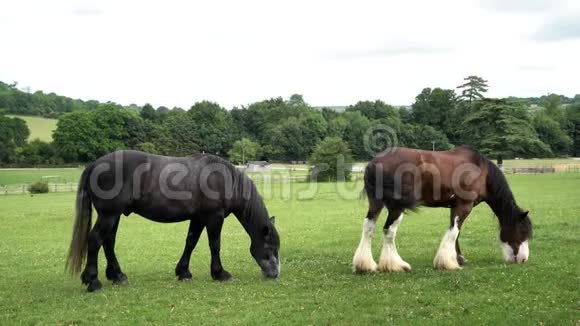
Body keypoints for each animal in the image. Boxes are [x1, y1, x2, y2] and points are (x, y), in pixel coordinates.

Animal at [67, 149, 280, 292]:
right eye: (271, 248)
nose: (275, 274)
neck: (222, 178)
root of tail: (94, 164)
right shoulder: (214, 218)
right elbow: (215, 245)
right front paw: (219, 273)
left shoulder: (198, 218)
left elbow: (191, 242)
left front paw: (183, 272)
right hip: (109, 215)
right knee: (95, 240)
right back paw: (93, 281)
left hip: (114, 215)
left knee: (108, 242)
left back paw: (117, 276)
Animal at [352, 146, 532, 272]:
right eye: (523, 232)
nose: (524, 259)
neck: (481, 171)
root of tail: (374, 163)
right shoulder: (464, 205)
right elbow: (453, 232)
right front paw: (448, 263)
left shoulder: (455, 207)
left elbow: (456, 232)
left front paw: (457, 258)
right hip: (396, 208)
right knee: (389, 231)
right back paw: (396, 265)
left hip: (376, 203)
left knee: (368, 227)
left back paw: (365, 265)